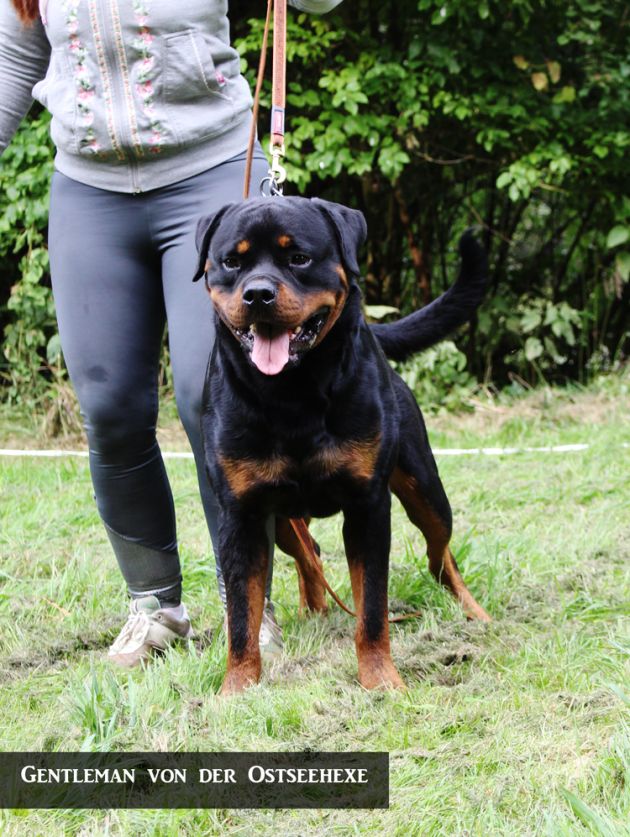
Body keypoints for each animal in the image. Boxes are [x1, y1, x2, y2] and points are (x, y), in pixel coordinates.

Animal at [193, 196, 490, 695]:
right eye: (232, 262)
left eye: (298, 258)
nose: (257, 294)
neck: (291, 395)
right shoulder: (241, 515)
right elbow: (241, 616)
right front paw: (237, 688)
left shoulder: (367, 506)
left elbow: (371, 608)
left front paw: (381, 680)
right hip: (283, 519)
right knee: (308, 551)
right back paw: (315, 608)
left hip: (425, 489)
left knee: (441, 553)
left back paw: (472, 611)